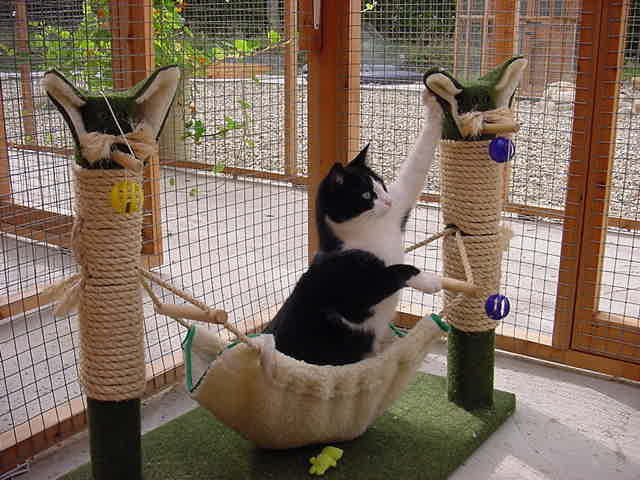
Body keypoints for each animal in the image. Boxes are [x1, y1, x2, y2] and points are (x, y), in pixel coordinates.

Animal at [264, 90, 444, 365]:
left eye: (381, 184)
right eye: (366, 195)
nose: (388, 201)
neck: (371, 231)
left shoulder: (395, 214)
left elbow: (415, 169)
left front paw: (434, 106)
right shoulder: (354, 291)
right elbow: (397, 270)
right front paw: (430, 281)